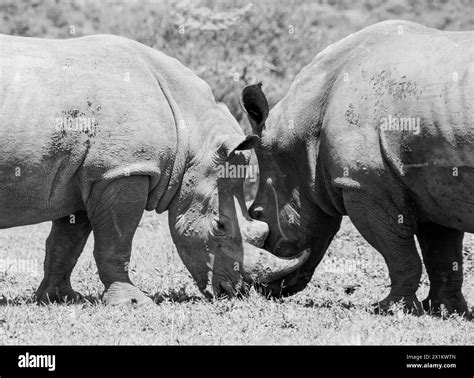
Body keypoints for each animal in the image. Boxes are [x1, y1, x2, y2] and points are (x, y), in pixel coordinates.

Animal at [0, 34, 310, 306]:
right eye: (220, 225)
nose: (235, 291)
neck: (191, 133)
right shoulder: (125, 170)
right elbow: (116, 242)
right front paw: (133, 303)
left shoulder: (90, 173)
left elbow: (65, 243)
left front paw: (59, 298)